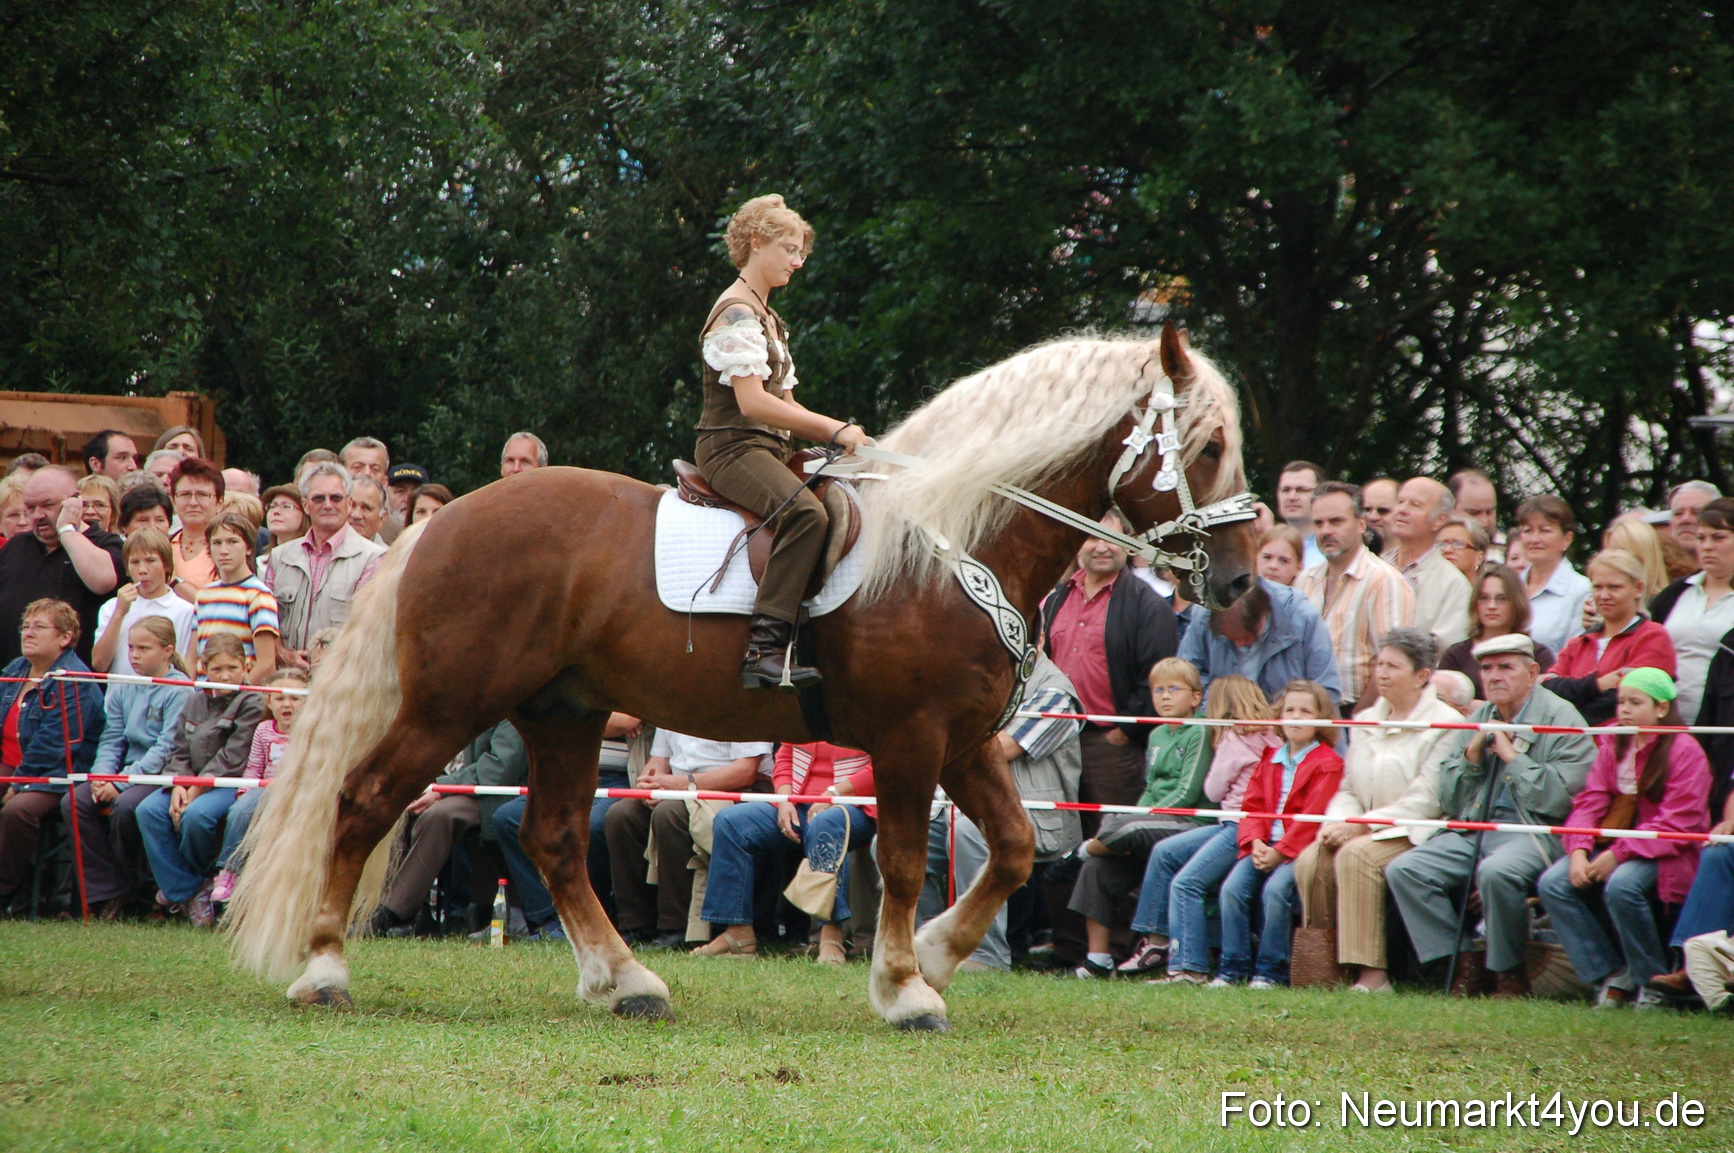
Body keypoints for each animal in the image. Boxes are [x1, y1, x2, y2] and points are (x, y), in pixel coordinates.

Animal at [226, 321, 1257, 1031]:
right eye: (1206, 448)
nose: (1243, 582)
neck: (951, 542)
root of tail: (445, 519)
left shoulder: (961, 742)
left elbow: (1008, 850)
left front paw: (933, 956)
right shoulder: (914, 739)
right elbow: (904, 860)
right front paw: (905, 989)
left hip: (563, 711)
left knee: (554, 838)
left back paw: (627, 981)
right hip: (453, 703)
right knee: (364, 799)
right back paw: (324, 971)